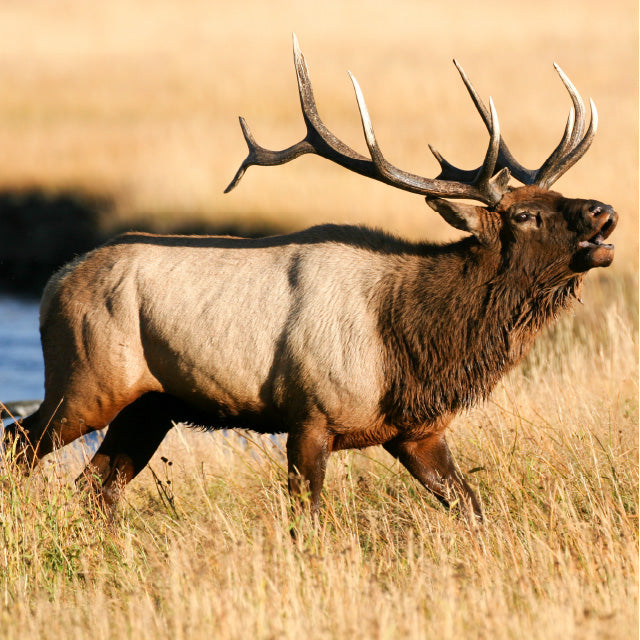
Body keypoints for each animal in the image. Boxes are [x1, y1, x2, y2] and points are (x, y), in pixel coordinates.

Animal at [4, 36, 616, 521]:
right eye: (524, 215)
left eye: (559, 195)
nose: (604, 210)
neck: (411, 346)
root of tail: (52, 284)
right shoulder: (310, 416)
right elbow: (309, 520)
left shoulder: (416, 432)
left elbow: (472, 506)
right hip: (85, 382)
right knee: (20, 445)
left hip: (149, 406)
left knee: (95, 488)